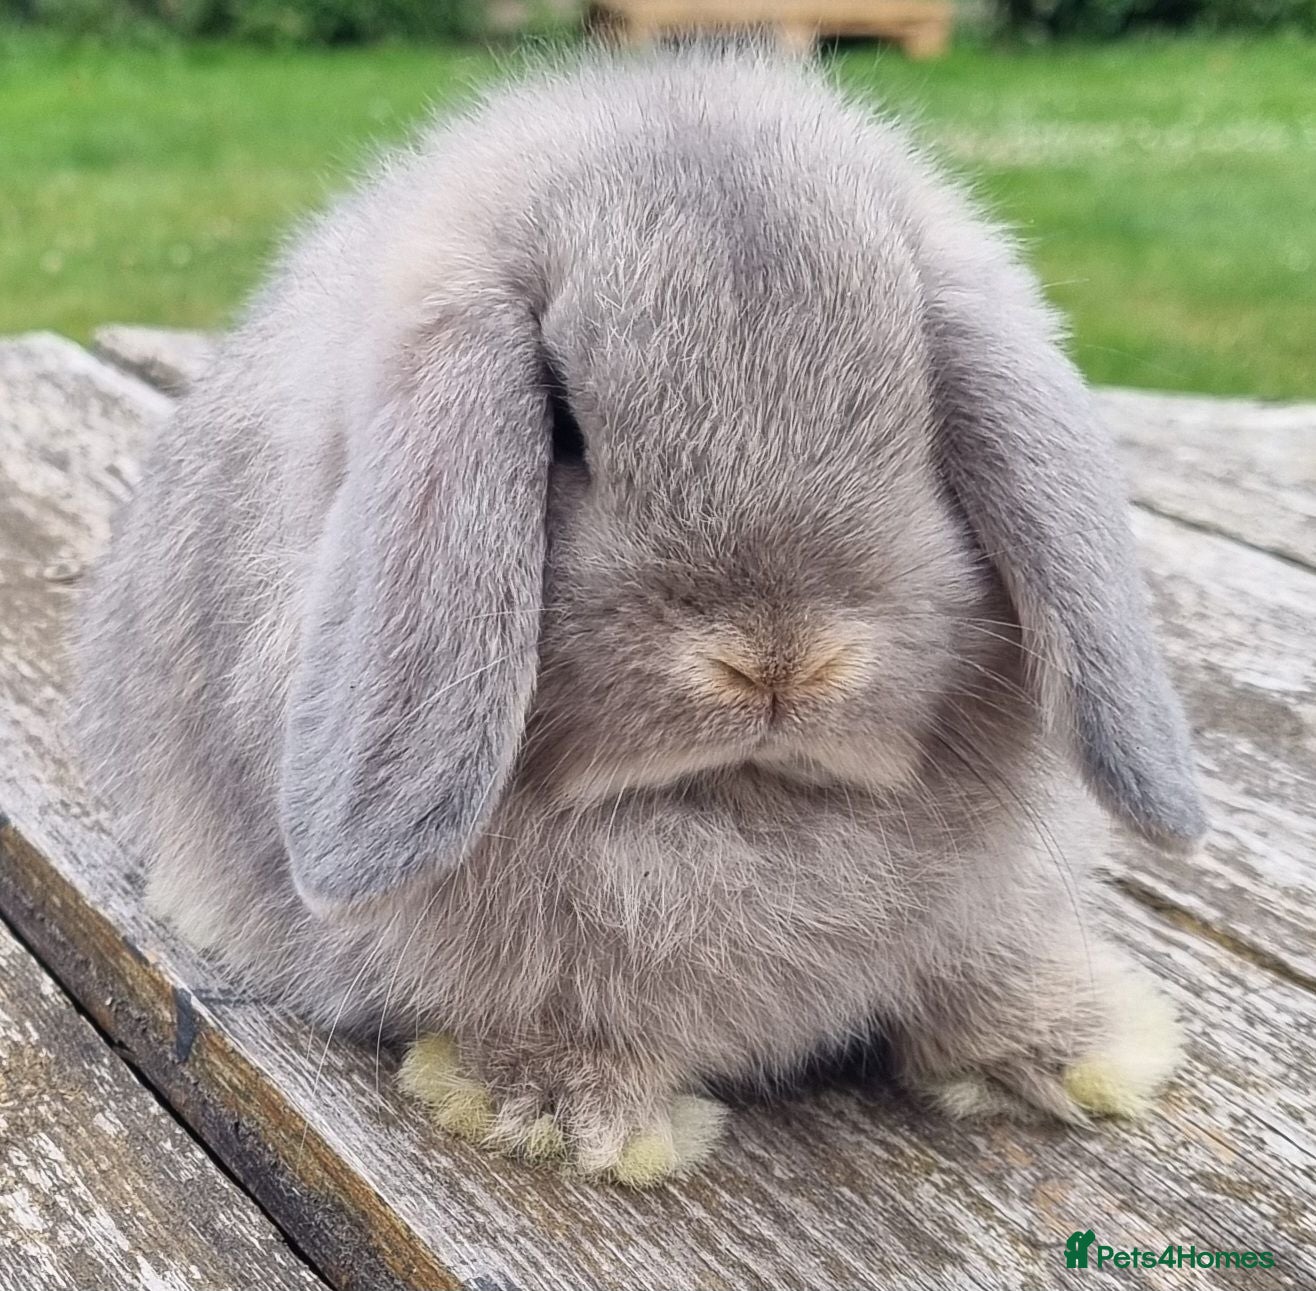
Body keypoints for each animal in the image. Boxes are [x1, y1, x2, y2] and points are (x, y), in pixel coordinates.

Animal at [74, 43, 1206, 1186]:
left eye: (925, 424)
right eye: (566, 431)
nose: (778, 663)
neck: (737, 810)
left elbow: (984, 972)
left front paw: (1085, 1050)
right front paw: (574, 1118)